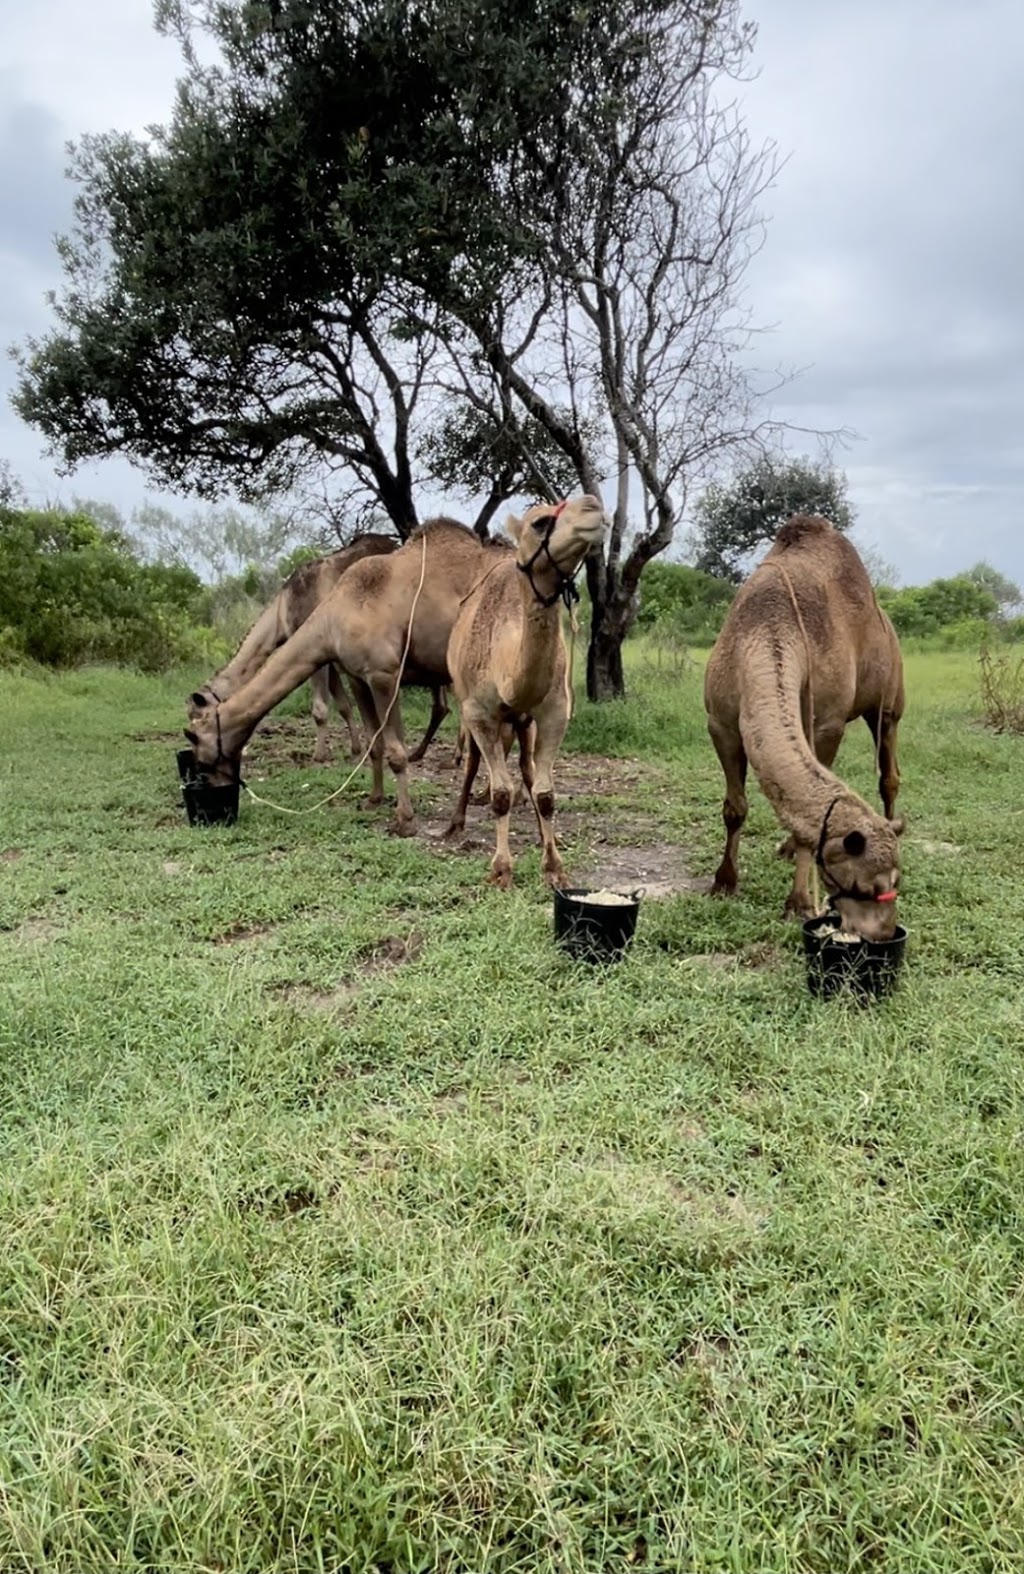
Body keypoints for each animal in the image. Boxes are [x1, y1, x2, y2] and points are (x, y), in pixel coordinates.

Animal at [189, 538, 453, 764]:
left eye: (196, 715)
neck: (281, 613)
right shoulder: (329, 656)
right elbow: (344, 705)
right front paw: (356, 750)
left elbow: (320, 708)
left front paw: (320, 755)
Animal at [443, 494, 610, 887]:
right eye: (540, 522)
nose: (593, 506)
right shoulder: (479, 713)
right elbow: (500, 792)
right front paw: (501, 870)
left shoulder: (554, 711)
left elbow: (545, 792)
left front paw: (554, 866)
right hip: (468, 707)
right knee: (473, 765)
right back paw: (455, 823)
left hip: (523, 722)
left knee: (528, 768)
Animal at [704, 513, 906, 931]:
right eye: (866, 885)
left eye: (895, 880)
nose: (882, 928)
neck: (768, 628)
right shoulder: (721, 723)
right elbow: (735, 808)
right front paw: (724, 882)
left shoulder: (826, 723)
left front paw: (797, 902)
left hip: (890, 702)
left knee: (889, 771)